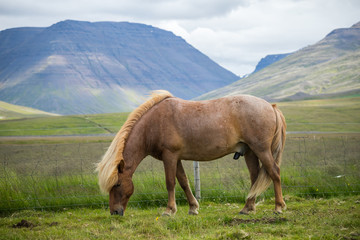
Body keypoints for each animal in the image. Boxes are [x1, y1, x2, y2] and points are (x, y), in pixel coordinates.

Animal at [95, 91, 286, 217]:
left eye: (118, 184)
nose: (114, 212)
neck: (153, 124)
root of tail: (270, 106)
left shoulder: (169, 156)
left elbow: (170, 183)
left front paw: (169, 210)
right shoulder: (176, 158)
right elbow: (183, 182)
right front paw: (193, 208)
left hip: (261, 150)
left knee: (274, 172)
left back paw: (278, 207)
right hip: (250, 152)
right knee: (255, 176)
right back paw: (247, 208)